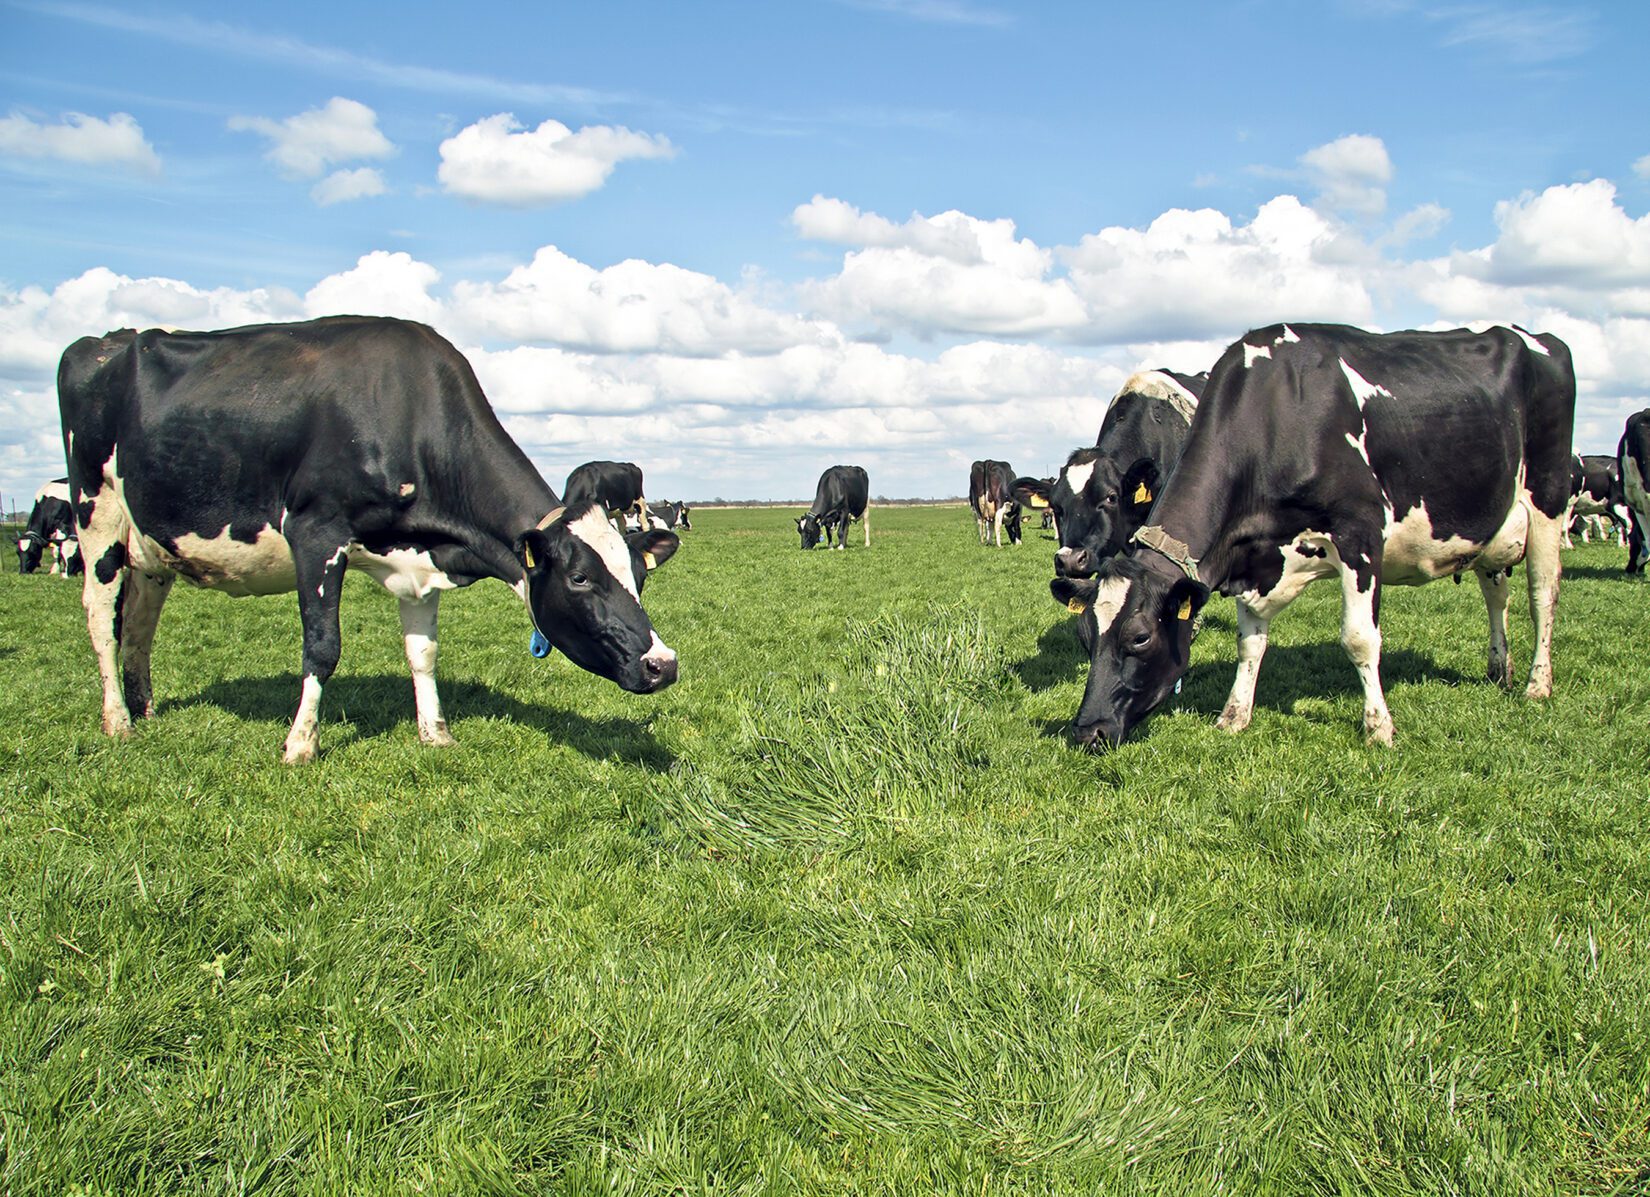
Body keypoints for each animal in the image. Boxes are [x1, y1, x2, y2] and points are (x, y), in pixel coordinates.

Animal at [58, 316, 676, 759]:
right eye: (580, 577)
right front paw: (300, 744)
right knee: (101, 616)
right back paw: (118, 721)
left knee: (140, 622)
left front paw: (435, 733)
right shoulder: (315, 533)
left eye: (639, 576)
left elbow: (423, 652)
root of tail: (108, 340)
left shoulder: (419, 560)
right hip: (96, 512)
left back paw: (145, 709)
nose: (663, 664)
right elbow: (322, 647)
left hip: (152, 544)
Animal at [1049, 316, 1577, 746]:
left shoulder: (1361, 532)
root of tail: (1532, 336)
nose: (1087, 731)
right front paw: (1234, 716)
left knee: (1542, 593)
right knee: (1496, 594)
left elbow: (1360, 638)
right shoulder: (1253, 554)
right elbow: (1250, 641)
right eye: (1085, 636)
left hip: (1549, 500)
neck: (1278, 416)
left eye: (1139, 638)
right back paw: (1499, 669)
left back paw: (1536, 684)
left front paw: (1378, 727)